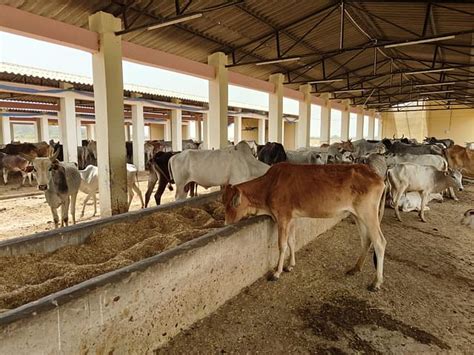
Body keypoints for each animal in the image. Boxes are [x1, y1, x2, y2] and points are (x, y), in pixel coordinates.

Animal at [224, 164, 386, 292]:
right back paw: (355, 268)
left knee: (380, 242)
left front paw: (277, 272)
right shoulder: (292, 218)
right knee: (366, 240)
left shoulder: (283, 217)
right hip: (358, 216)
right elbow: (292, 241)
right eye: (223, 201)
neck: (269, 186)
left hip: (368, 214)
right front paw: (290, 265)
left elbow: (282, 245)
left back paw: (376, 283)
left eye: (232, 203)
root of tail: (377, 176)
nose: (225, 222)